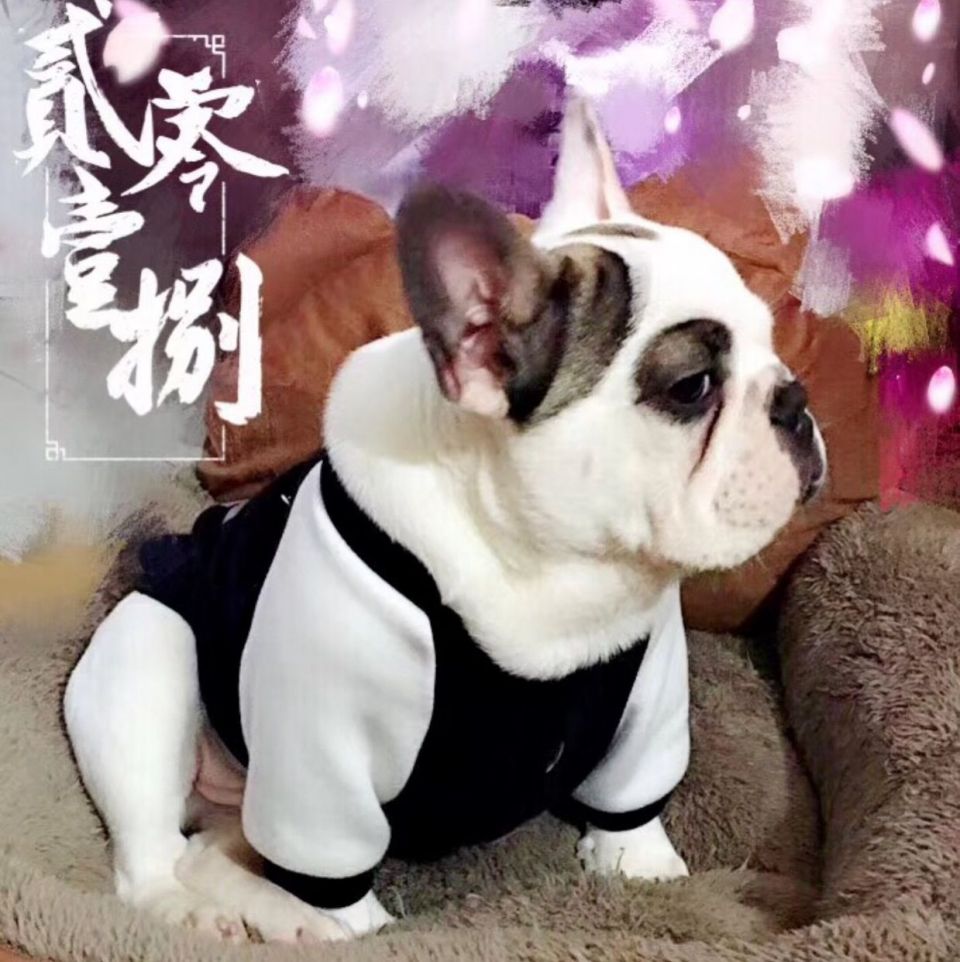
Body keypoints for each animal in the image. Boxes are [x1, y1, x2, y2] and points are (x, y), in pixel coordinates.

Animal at [64, 99, 826, 944]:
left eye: (771, 341)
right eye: (692, 387)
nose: (794, 401)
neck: (553, 567)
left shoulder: (647, 686)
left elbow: (633, 793)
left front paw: (644, 869)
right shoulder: (321, 743)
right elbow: (335, 871)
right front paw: (361, 930)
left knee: (211, 853)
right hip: (151, 662)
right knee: (154, 859)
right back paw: (223, 913)